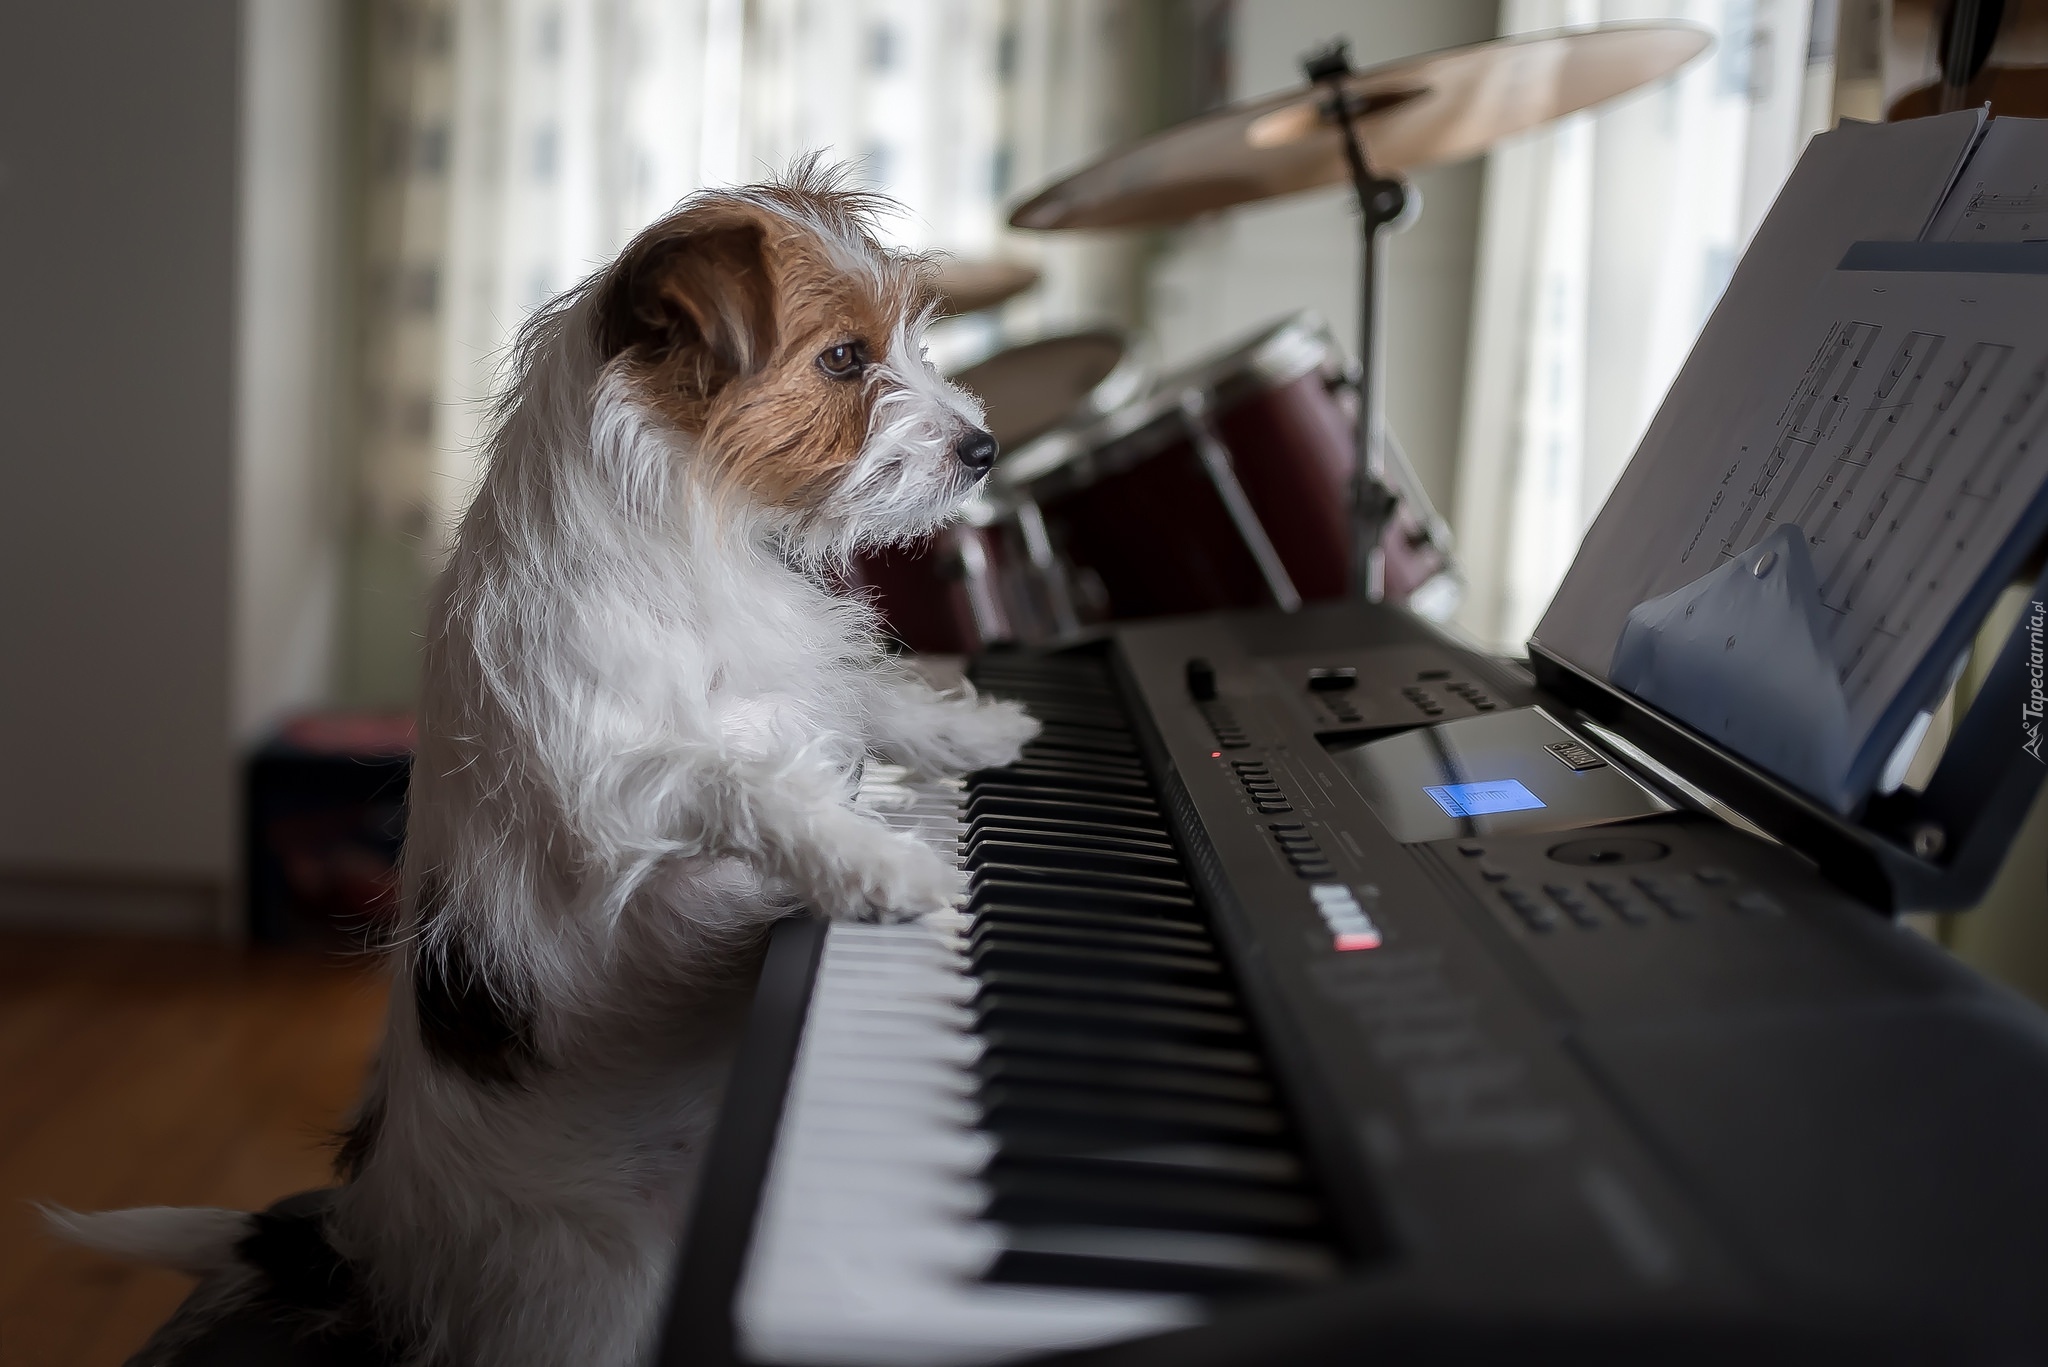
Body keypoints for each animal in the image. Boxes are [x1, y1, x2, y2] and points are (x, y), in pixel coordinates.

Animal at [51, 162, 1040, 1367]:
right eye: (845, 360)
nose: (984, 449)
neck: (688, 523)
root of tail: (366, 1236)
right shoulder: (612, 787)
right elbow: (744, 781)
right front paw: (874, 862)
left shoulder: (795, 683)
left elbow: (869, 697)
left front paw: (980, 732)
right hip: (599, 1294)